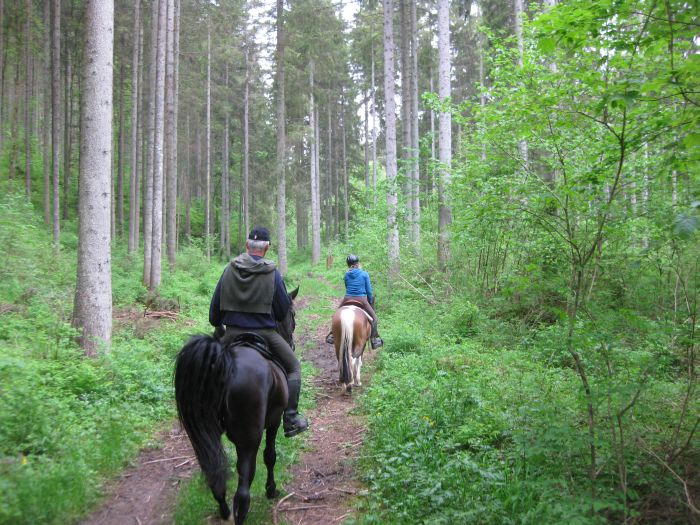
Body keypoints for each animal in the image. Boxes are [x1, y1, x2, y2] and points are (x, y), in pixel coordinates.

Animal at [174, 286, 298, 524]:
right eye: (292, 315)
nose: (291, 342)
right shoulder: (274, 422)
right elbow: (270, 456)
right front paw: (271, 490)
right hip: (248, 439)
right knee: (243, 491)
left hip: (206, 432)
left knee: (215, 472)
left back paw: (223, 510)